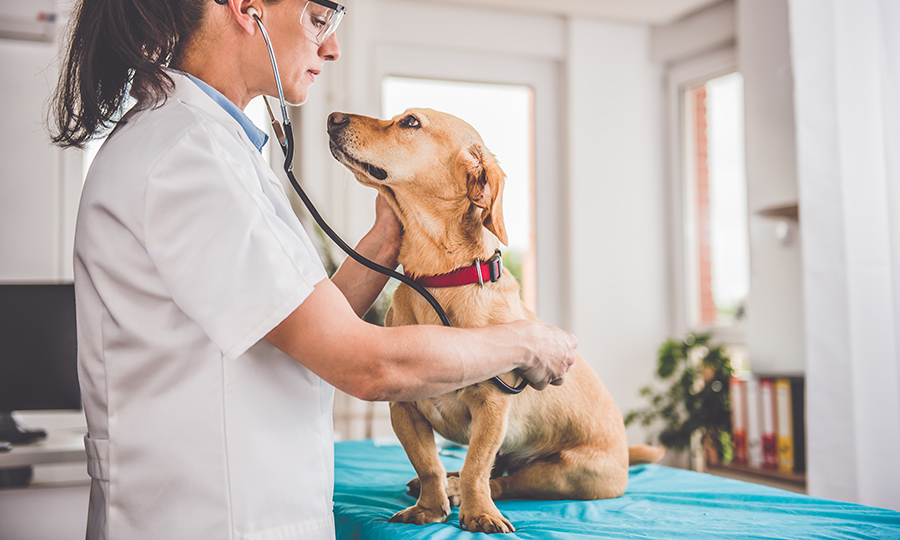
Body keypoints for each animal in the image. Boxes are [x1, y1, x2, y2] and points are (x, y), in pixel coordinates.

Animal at [326, 108, 664, 532]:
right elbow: (428, 465)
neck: (440, 280)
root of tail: (624, 452)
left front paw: (478, 513)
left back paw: (465, 492)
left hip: (569, 473)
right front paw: (429, 508)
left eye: (411, 122)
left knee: (504, 480)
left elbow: (476, 466)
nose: (332, 118)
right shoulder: (403, 410)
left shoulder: (492, 408)